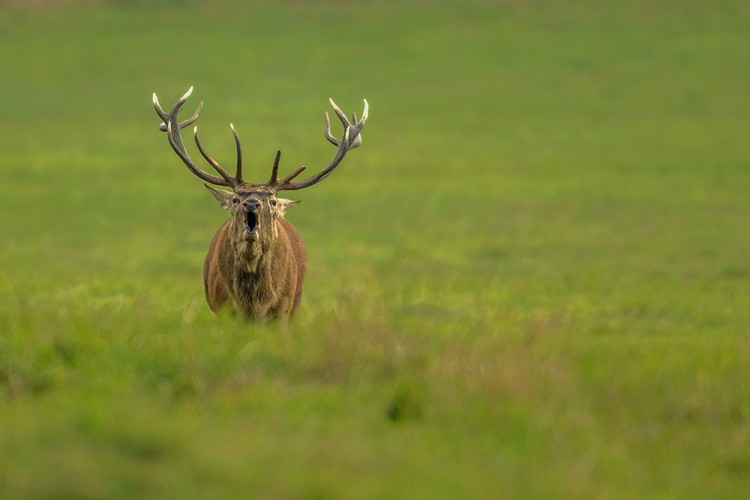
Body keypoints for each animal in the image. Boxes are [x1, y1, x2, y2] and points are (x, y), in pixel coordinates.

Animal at [154, 88, 372, 322]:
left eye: (273, 201)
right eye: (235, 199)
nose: (251, 203)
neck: (253, 301)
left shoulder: (283, 309)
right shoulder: (223, 308)